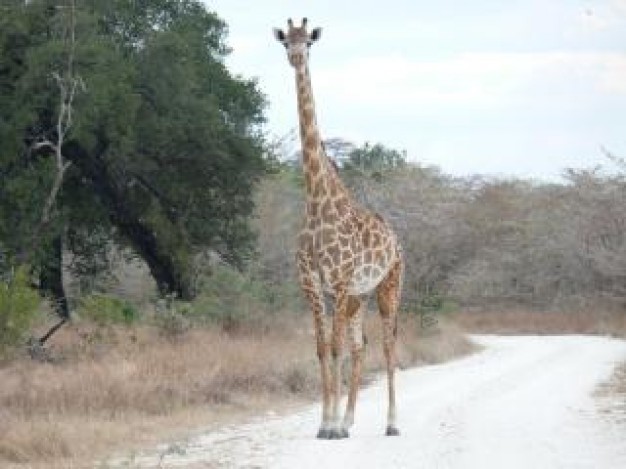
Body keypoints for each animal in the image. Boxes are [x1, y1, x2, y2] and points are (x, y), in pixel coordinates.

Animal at [272, 16, 400, 436]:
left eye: (309, 42)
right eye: (286, 42)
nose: (296, 58)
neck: (316, 205)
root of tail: (396, 239)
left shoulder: (340, 282)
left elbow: (334, 347)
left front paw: (332, 426)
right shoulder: (313, 284)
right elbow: (321, 347)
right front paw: (327, 423)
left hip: (389, 285)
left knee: (388, 343)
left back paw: (392, 423)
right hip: (361, 296)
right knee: (362, 344)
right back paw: (349, 419)